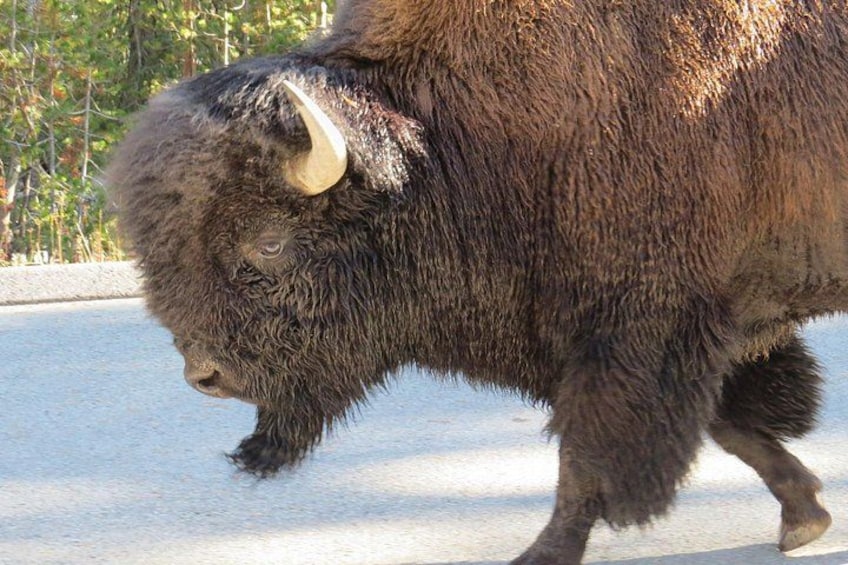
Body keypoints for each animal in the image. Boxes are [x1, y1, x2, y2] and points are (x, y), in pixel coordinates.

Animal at [108, 2, 846, 563]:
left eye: (269, 240)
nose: (205, 375)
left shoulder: (632, 331)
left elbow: (589, 459)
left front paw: (541, 554)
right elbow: (729, 424)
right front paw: (804, 516)